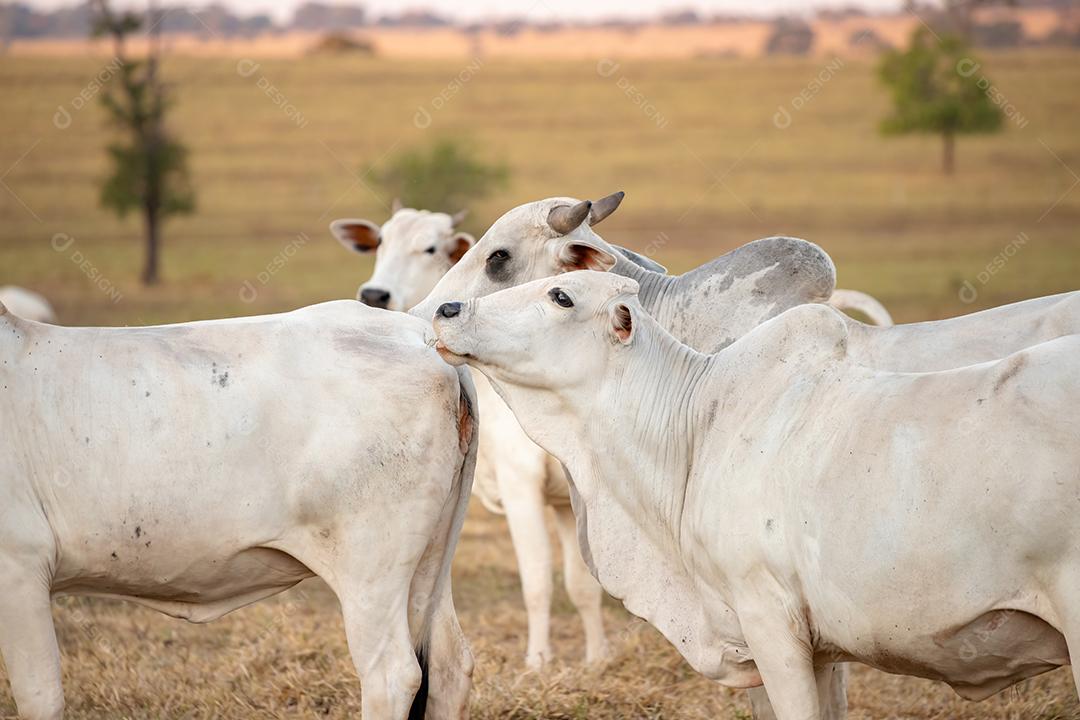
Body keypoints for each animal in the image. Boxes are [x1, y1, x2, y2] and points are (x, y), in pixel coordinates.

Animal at [0, 300, 477, 720]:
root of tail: (418, 336)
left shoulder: (20, 569)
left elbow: (40, 698)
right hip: (430, 563)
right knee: (450, 665)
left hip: (371, 568)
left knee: (392, 674)